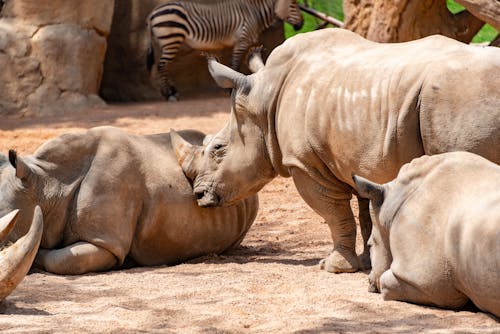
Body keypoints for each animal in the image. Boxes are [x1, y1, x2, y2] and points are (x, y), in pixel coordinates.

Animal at [146, 0, 302, 100]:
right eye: (293, 4)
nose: (301, 24)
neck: (255, 13)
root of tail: (152, 13)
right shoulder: (242, 41)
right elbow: (235, 64)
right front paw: (231, 89)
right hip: (171, 39)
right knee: (161, 66)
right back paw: (169, 94)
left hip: (165, 42)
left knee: (161, 66)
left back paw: (169, 91)